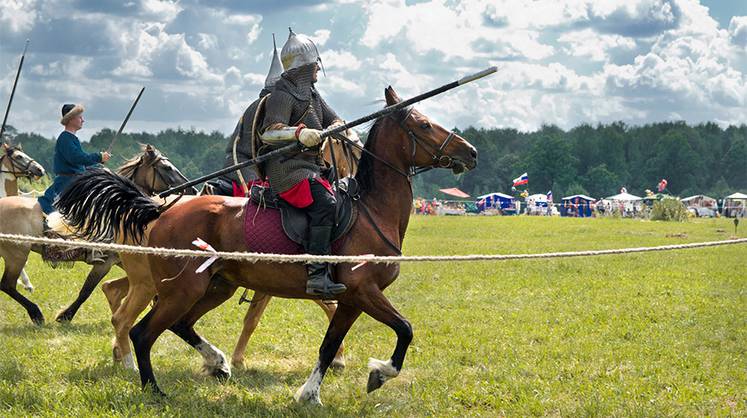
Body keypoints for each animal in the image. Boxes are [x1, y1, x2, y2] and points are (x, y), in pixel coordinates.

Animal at [0, 144, 196, 324]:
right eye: (167, 168)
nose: (192, 190)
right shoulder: (104, 263)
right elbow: (86, 290)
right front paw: (65, 316)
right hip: (17, 255)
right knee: (7, 284)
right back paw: (36, 313)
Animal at [57, 86, 480, 404]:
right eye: (423, 124)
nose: (470, 152)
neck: (370, 211)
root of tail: (159, 212)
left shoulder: (351, 299)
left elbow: (329, 345)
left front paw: (310, 394)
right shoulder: (364, 291)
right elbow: (405, 329)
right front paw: (380, 373)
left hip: (216, 286)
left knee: (176, 323)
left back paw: (217, 363)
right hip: (180, 289)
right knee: (142, 332)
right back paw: (155, 389)